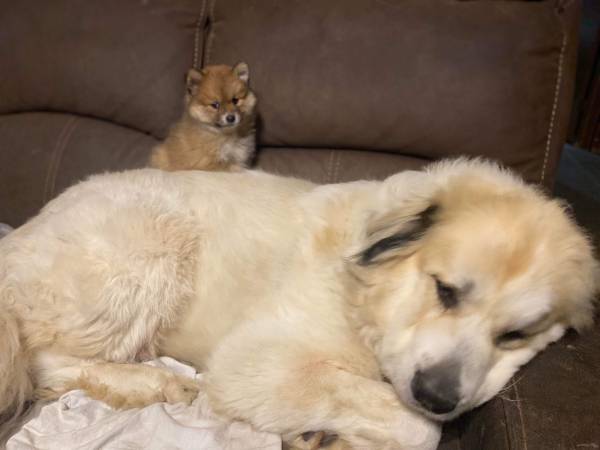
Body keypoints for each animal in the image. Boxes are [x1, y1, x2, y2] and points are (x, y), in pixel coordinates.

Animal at [0, 160, 596, 448]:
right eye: (445, 290)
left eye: (515, 335)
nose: (437, 396)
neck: (370, 294)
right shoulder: (254, 363)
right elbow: (419, 429)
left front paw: (327, 438)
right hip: (151, 243)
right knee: (43, 360)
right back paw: (150, 383)